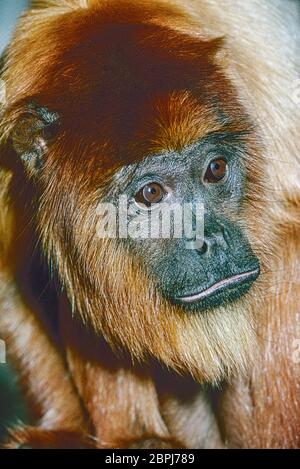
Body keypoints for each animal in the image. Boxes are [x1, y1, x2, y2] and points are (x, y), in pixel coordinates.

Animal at [0, 0, 298, 448]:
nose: (210, 239)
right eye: (151, 193)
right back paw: (136, 437)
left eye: (215, 169)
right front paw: (63, 429)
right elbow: (13, 281)